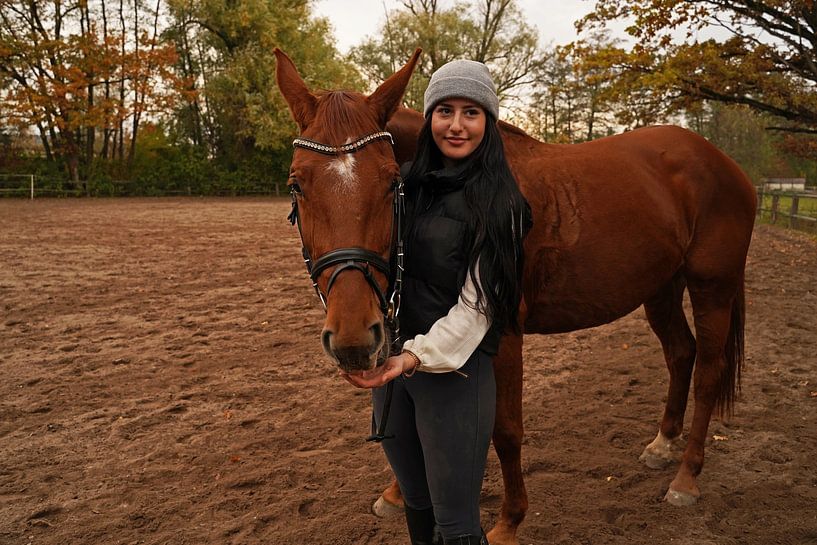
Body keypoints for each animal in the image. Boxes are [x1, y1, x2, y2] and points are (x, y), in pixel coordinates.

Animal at [274, 48, 757, 545]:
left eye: (392, 183)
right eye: (296, 184)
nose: (352, 340)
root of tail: (722, 162)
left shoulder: (502, 333)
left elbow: (504, 431)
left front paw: (510, 520)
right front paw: (395, 493)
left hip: (712, 285)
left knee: (709, 371)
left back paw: (686, 477)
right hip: (661, 287)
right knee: (681, 354)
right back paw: (663, 444)